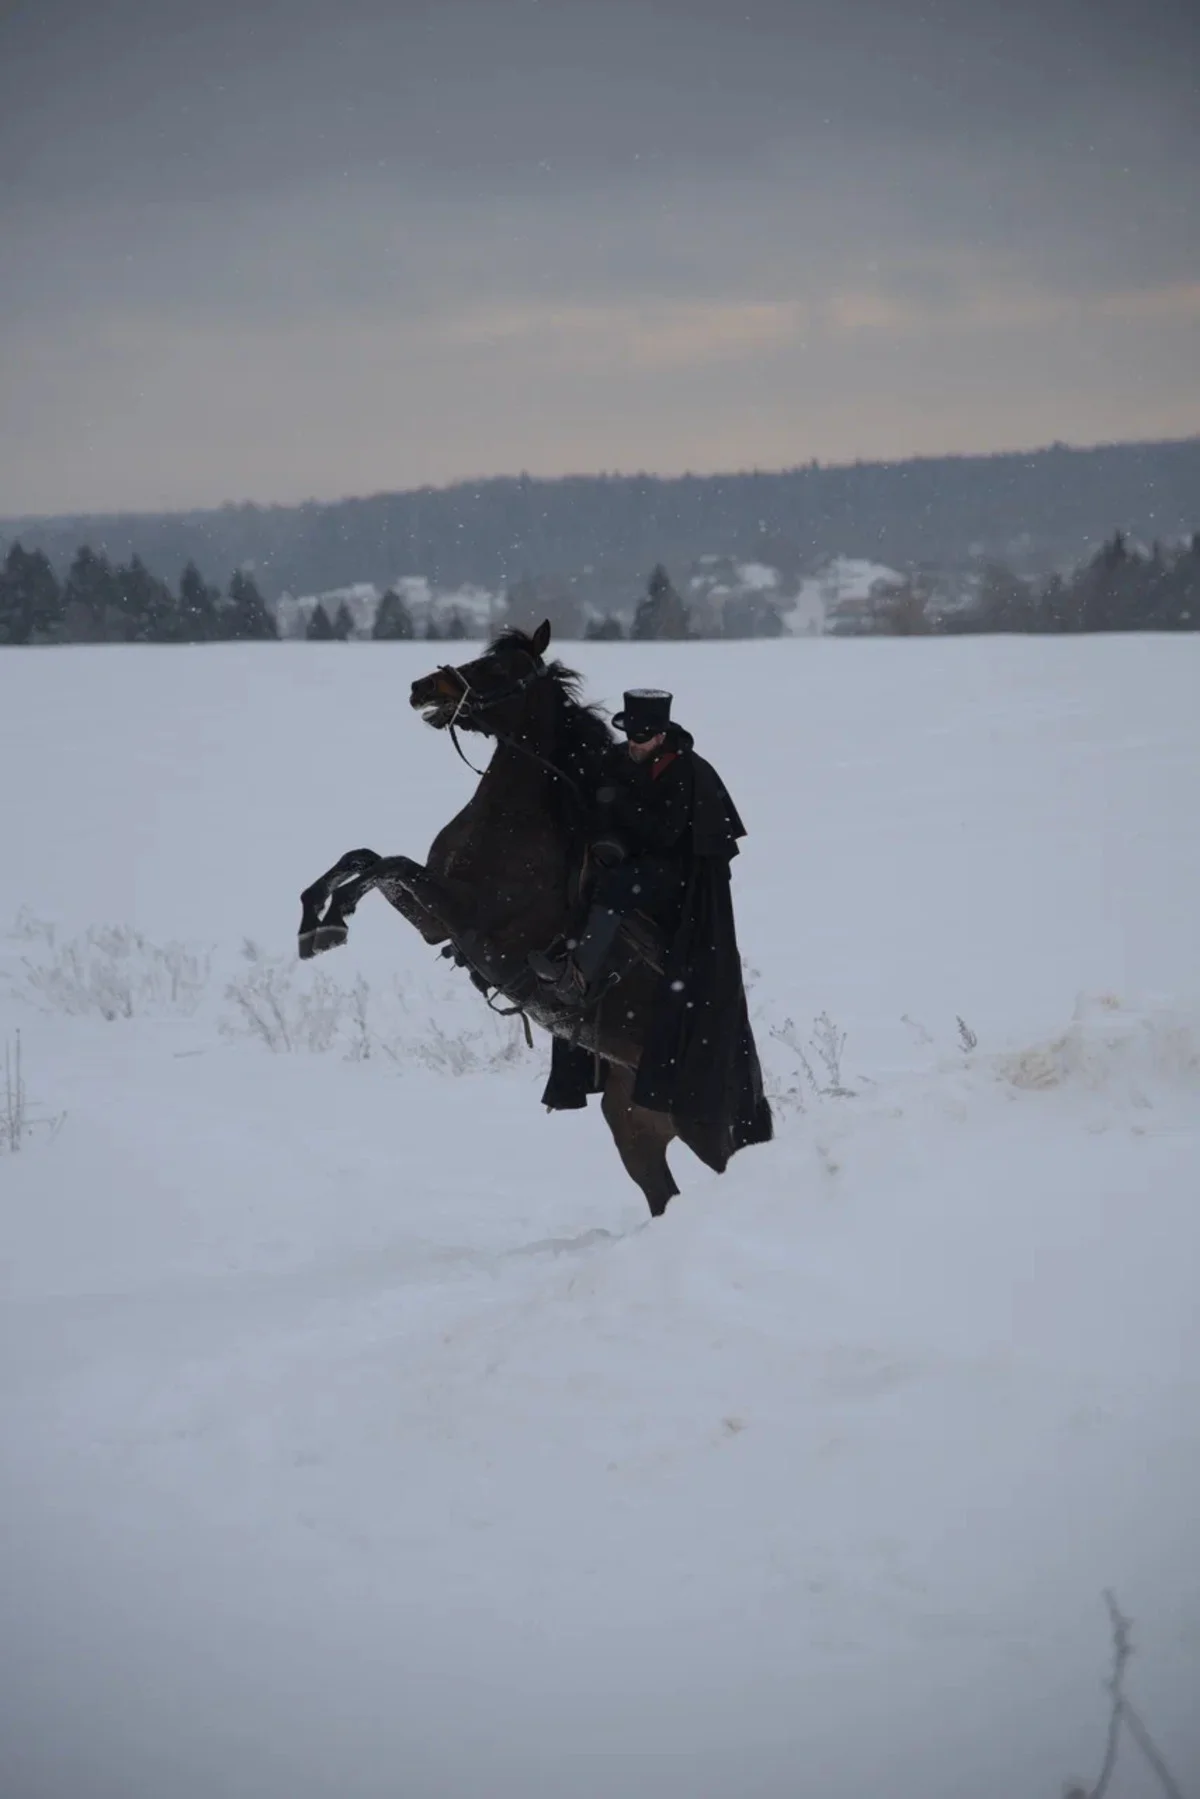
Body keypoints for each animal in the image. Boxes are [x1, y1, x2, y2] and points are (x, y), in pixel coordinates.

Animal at [300, 622, 766, 1223]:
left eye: (499, 669)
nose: (423, 687)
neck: (512, 821)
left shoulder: (469, 917)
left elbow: (387, 865)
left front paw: (332, 921)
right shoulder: (435, 920)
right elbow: (365, 859)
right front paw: (314, 916)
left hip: (705, 1131)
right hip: (634, 1129)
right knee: (662, 1194)